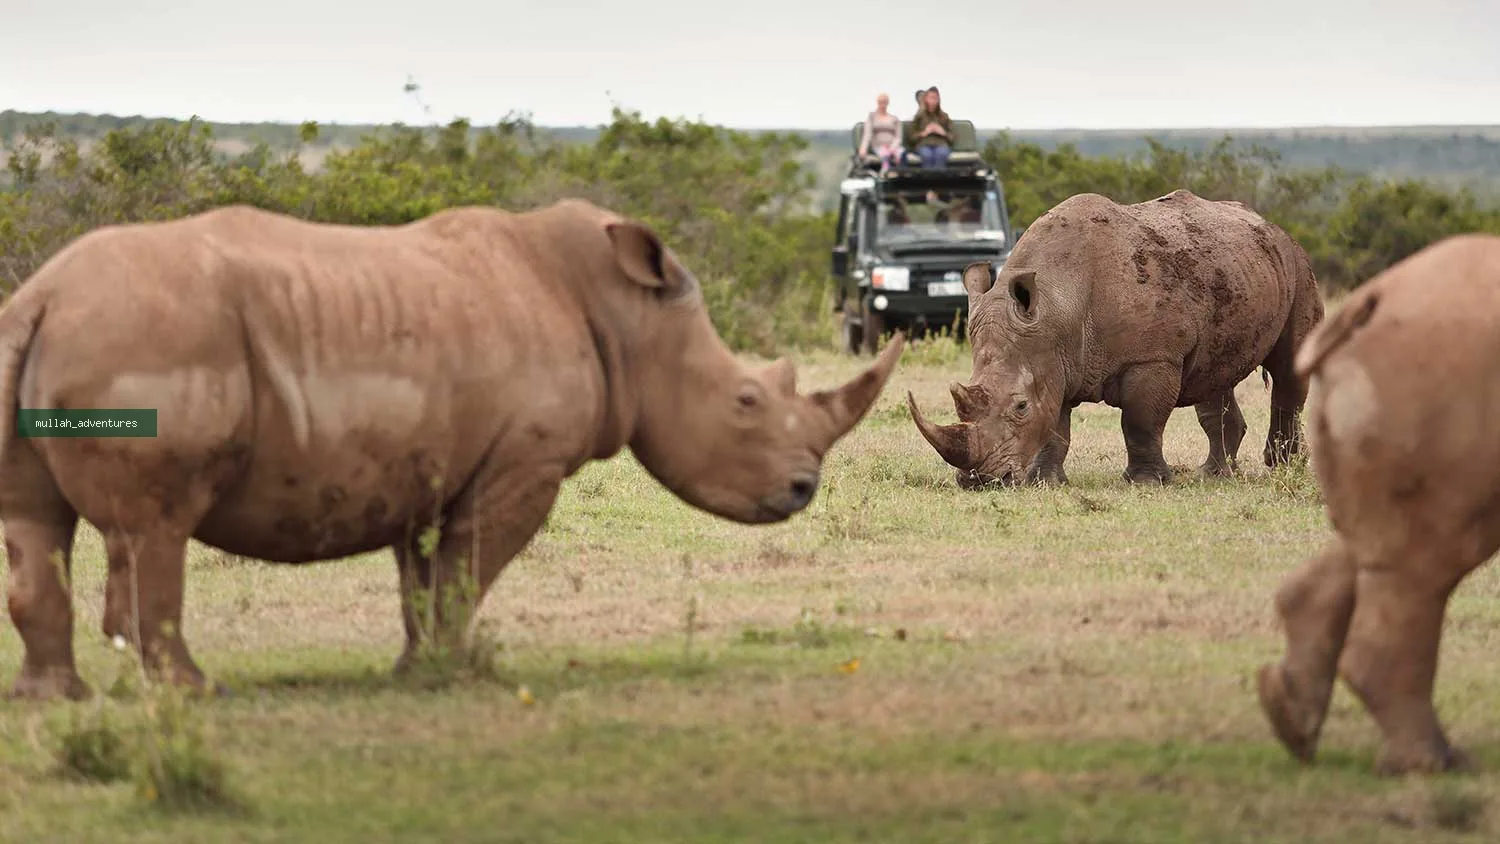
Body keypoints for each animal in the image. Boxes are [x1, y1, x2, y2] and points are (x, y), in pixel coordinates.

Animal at [0, 199, 905, 700]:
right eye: (747, 402)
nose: (802, 489)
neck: (628, 319)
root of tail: (41, 295)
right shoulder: (521, 466)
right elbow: (469, 570)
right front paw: (454, 672)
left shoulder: (419, 464)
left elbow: (423, 578)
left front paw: (416, 672)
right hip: (144, 337)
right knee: (154, 528)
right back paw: (195, 692)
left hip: (74, 334)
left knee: (36, 524)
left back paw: (55, 701)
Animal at [908, 189, 1324, 488]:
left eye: (1020, 406)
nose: (979, 481)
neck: (1058, 304)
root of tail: (1272, 227)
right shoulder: (1055, 360)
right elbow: (1055, 427)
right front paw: (1046, 482)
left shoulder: (1153, 357)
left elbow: (1139, 421)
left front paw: (1147, 483)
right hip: (1237, 271)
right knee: (1214, 377)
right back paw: (1214, 476)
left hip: (1298, 266)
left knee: (1288, 370)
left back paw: (1282, 467)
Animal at [1258, 233, 1500, 776]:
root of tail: (1370, 303)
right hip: (1431, 377)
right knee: (1428, 556)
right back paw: (1432, 764)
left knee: (1386, 544)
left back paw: (1291, 723)